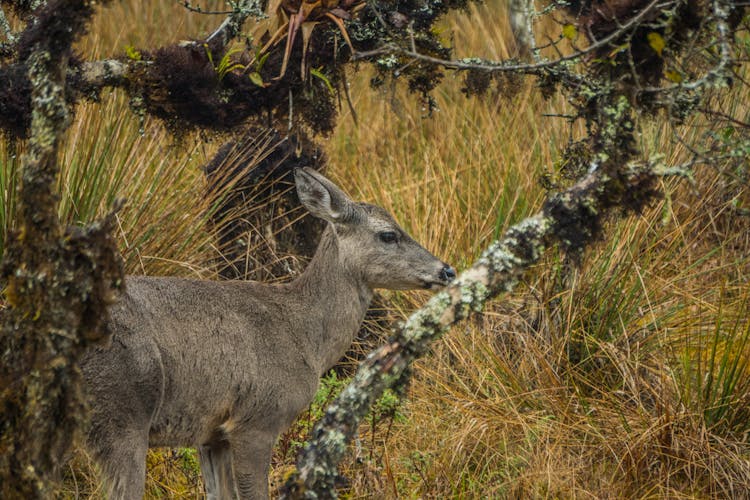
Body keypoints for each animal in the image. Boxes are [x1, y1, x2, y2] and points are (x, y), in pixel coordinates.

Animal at [82, 169, 458, 500]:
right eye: (388, 234)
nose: (447, 270)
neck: (306, 336)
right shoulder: (256, 420)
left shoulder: (211, 434)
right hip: (123, 412)